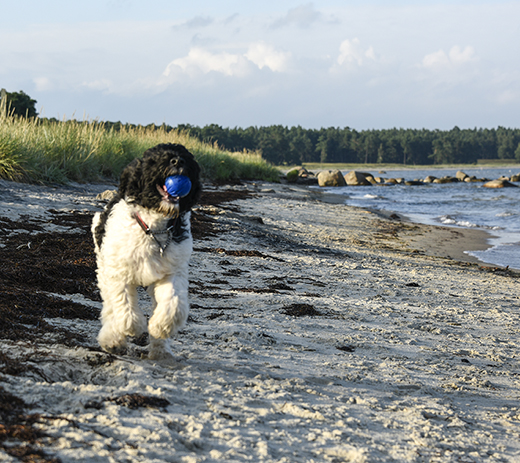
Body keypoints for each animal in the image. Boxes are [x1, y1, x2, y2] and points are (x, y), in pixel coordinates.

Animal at [91, 143, 201, 360]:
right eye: (155, 159)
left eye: (186, 157)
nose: (178, 161)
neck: (153, 229)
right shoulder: (118, 272)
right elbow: (124, 302)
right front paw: (134, 326)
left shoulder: (172, 271)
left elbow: (173, 303)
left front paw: (161, 326)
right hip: (103, 266)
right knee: (109, 306)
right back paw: (113, 339)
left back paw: (161, 351)